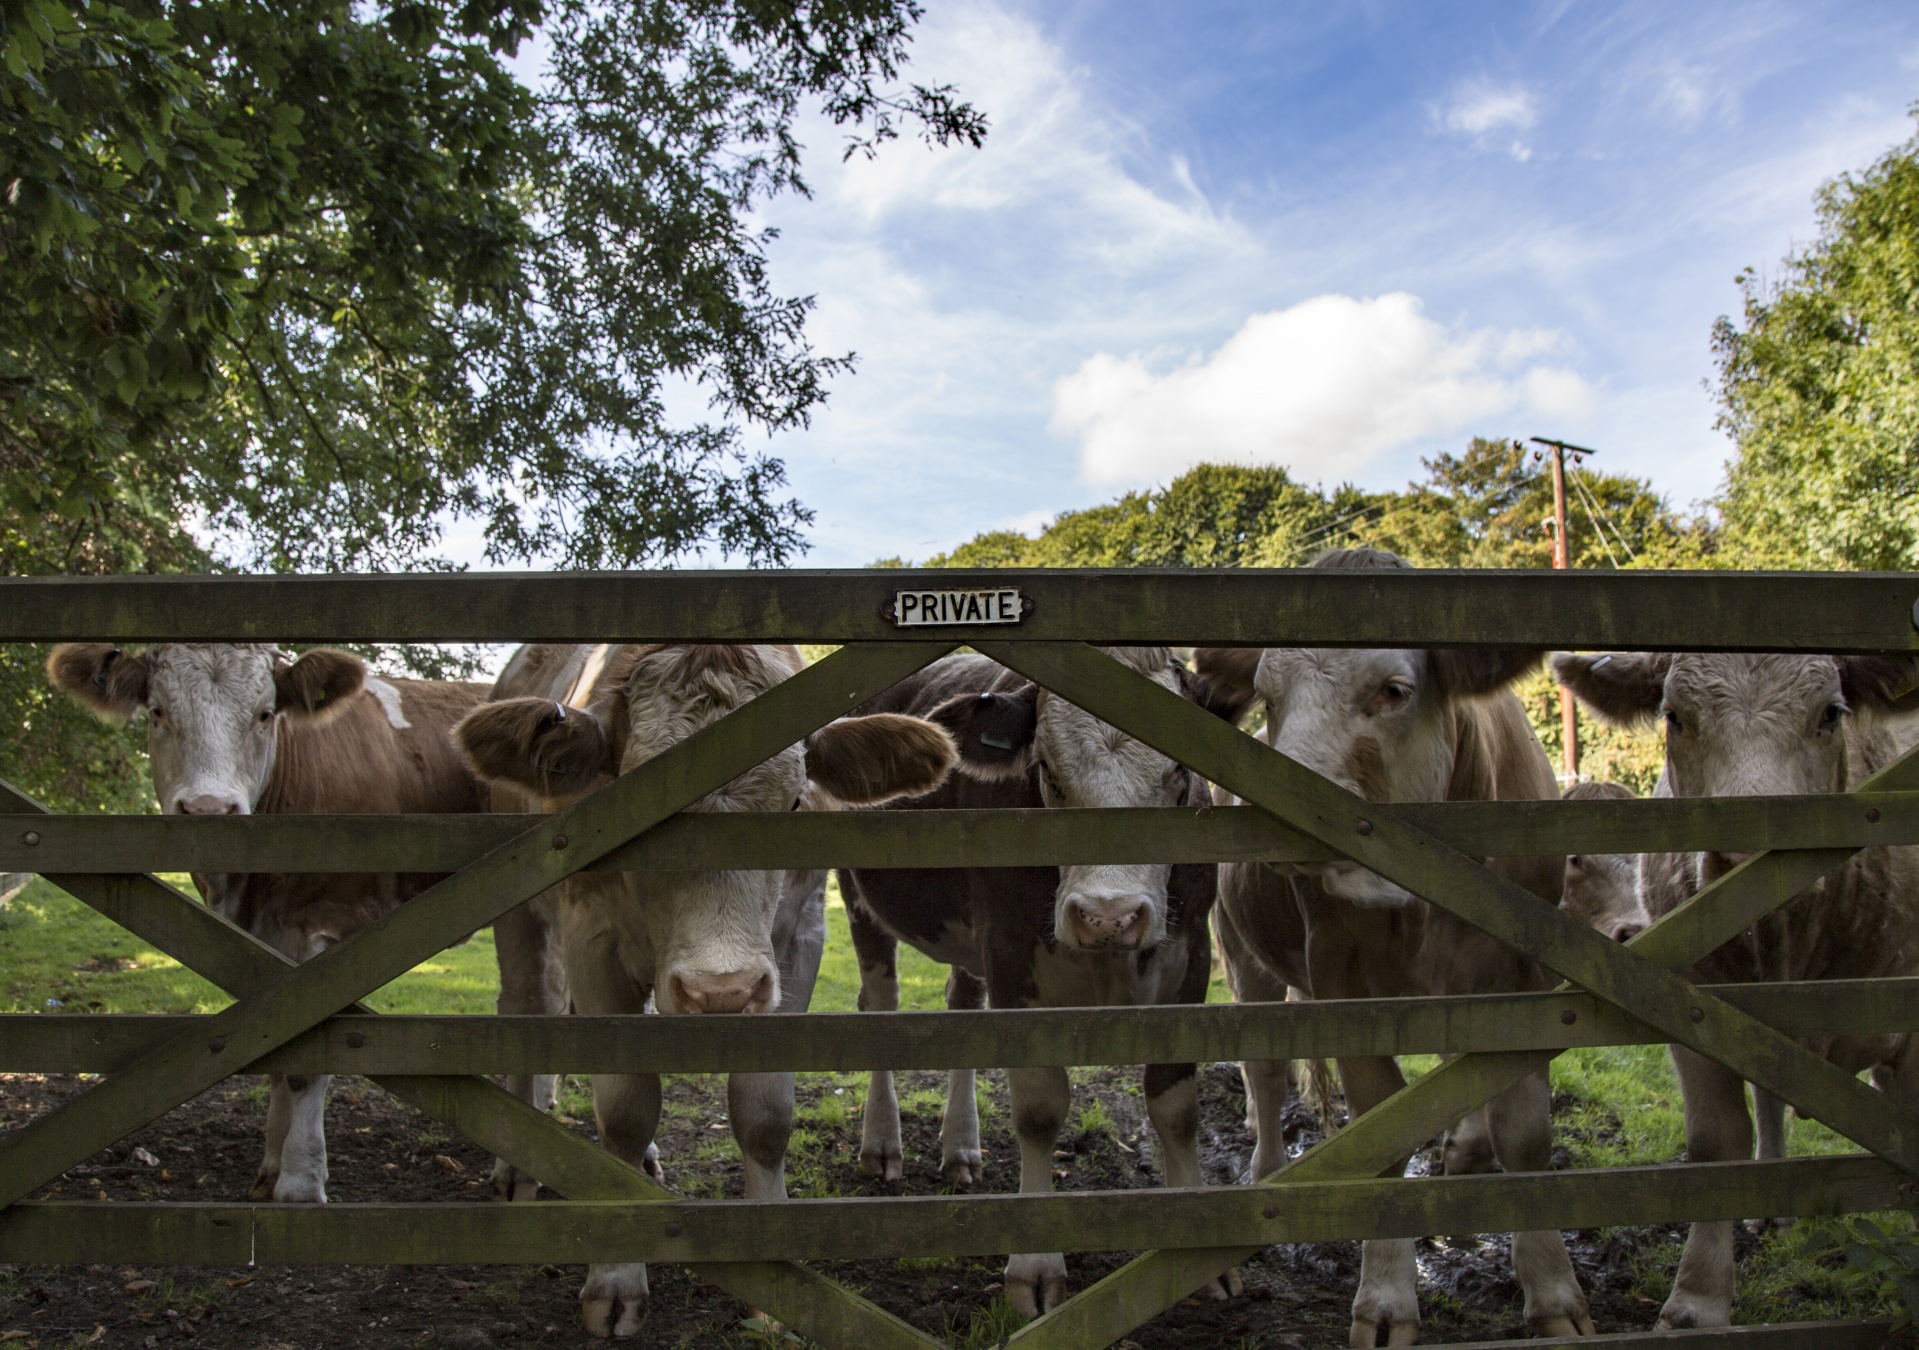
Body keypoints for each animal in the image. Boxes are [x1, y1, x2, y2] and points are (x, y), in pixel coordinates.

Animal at [48, 641, 521, 1205]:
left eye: (264, 714)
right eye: (158, 712)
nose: (209, 810)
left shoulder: (324, 932)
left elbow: (307, 1065)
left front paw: (300, 1180)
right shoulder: (263, 946)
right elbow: (277, 1050)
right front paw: (270, 1167)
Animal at [450, 645, 959, 1344]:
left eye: (795, 803)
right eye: (634, 809)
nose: (721, 989)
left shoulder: (796, 942)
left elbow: (764, 1113)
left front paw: (771, 1276)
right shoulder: (590, 937)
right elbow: (625, 1109)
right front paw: (616, 1278)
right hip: (520, 911)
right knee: (528, 1005)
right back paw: (517, 1168)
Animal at [844, 645, 1243, 1321]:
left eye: (1178, 773)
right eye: (1046, 770)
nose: (1108, 914)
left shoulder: (1190, 960)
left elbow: (1176, 1109)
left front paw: (1197, 1257)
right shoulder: (1011, 954)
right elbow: (1038, 1110)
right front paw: (1033, 1269)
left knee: (961, 1005)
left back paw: (960, 1149)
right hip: (858, 894)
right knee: (880, 1005)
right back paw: (883, 1144)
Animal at [1197, 545, 1588, 1344]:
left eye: (1393, 690)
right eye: (1267, 697)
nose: (1274, 814)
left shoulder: (1517, 978)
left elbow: (1518, 1133)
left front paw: (1550, 1290)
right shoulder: (1342, 981)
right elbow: (1382, 1135)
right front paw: (1385, 1300)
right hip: (1242, 953)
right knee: (1265, 1071)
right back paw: (1266, 1171)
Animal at [1550, 649, 1919, 1328]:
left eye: (1831, 714)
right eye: (1675, 716)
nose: (1750, 852)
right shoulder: (1690, 1014)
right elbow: (1717, 1142)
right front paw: (1698, 1299)